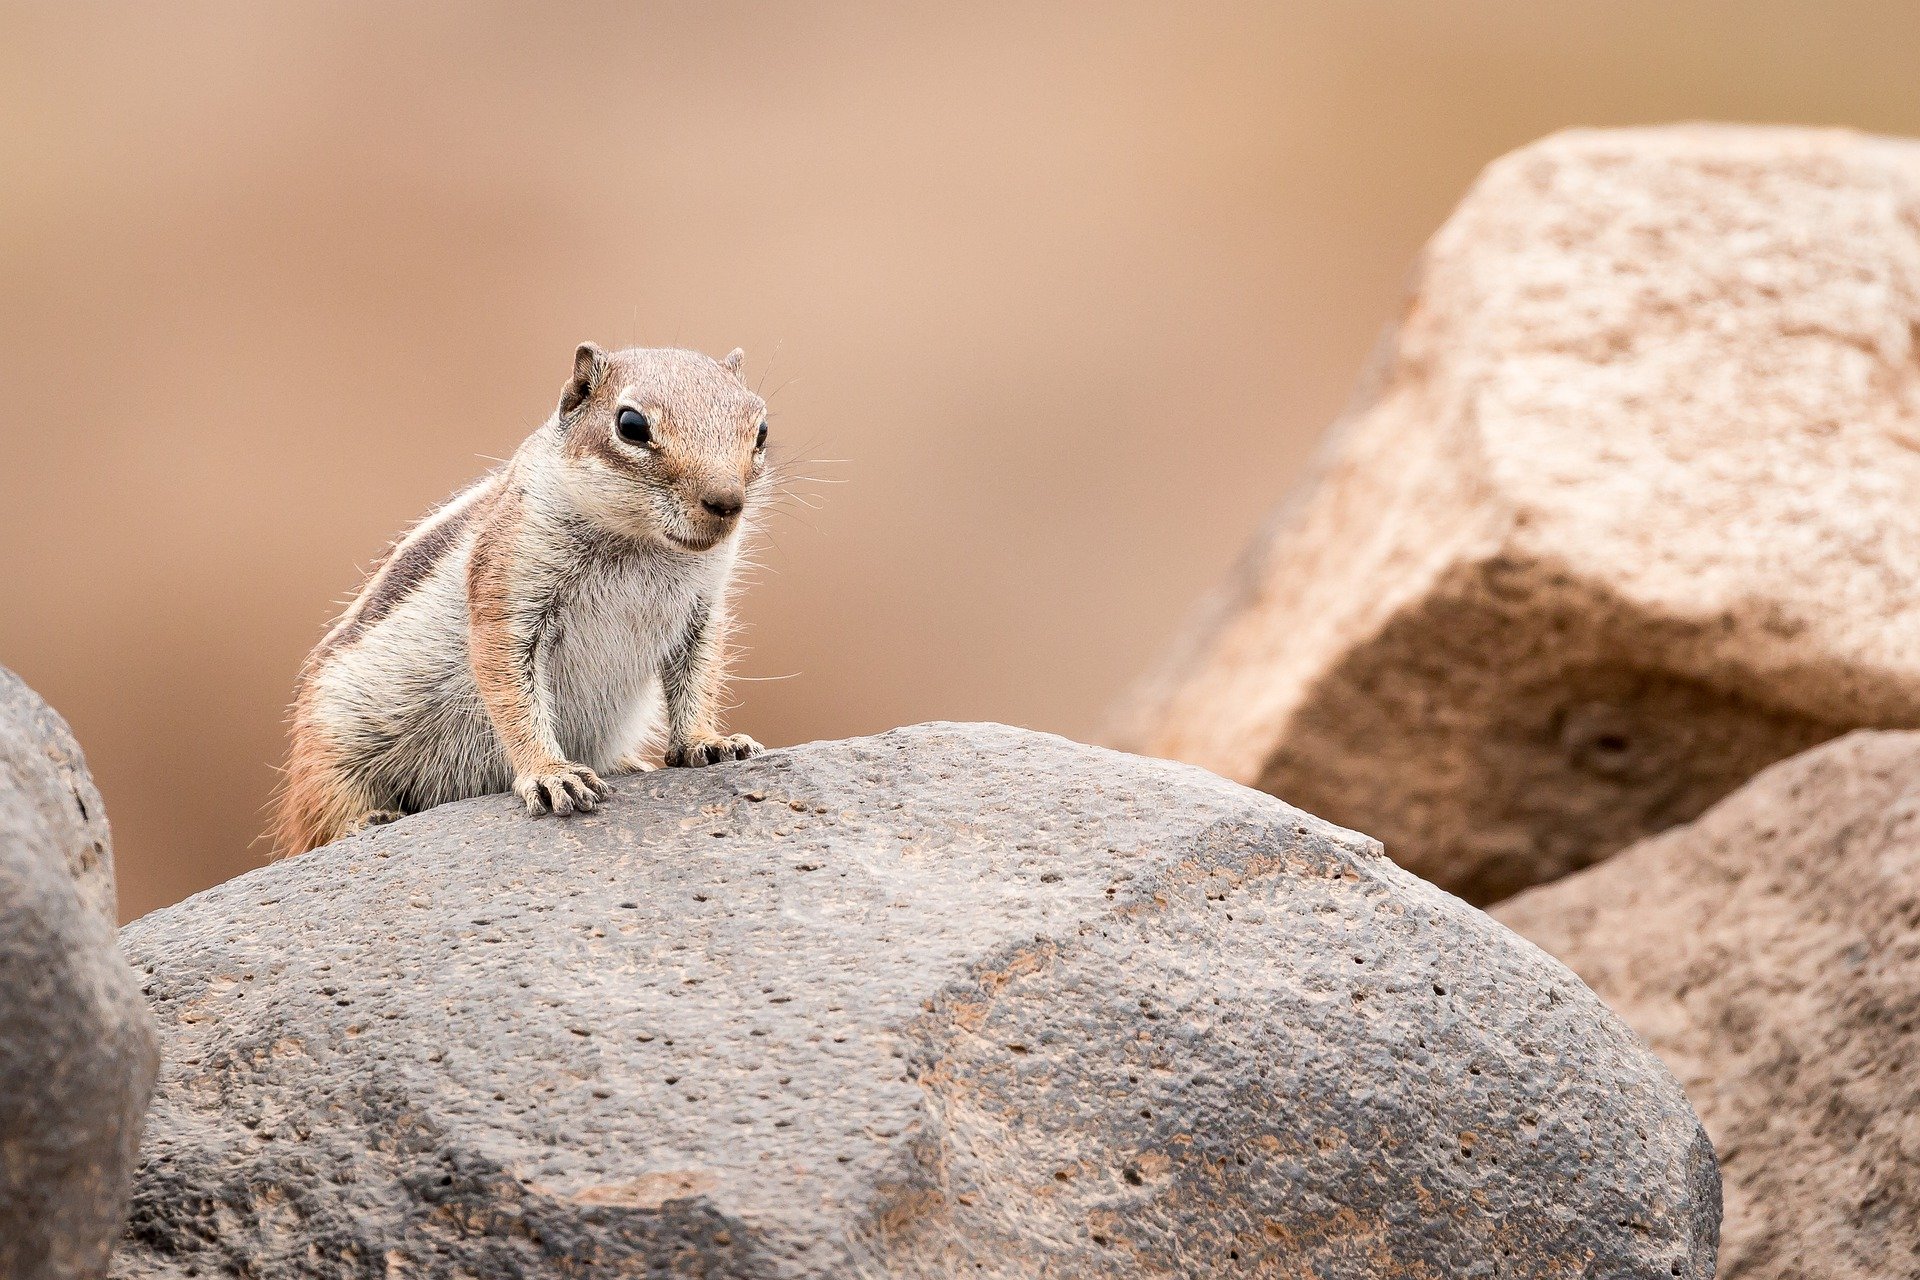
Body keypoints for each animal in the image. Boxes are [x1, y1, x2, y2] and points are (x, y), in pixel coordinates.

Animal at [274, 345, 768, 855]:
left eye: (762, 430)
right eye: (630, 425)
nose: (726, 502)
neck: (638, 542)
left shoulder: (703, 611)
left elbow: (699, 675)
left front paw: (708, 741)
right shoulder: (509, 592)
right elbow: (512, 696)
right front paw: (552, 775)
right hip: (331, 742)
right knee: (323, 812)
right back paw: (366, 819)